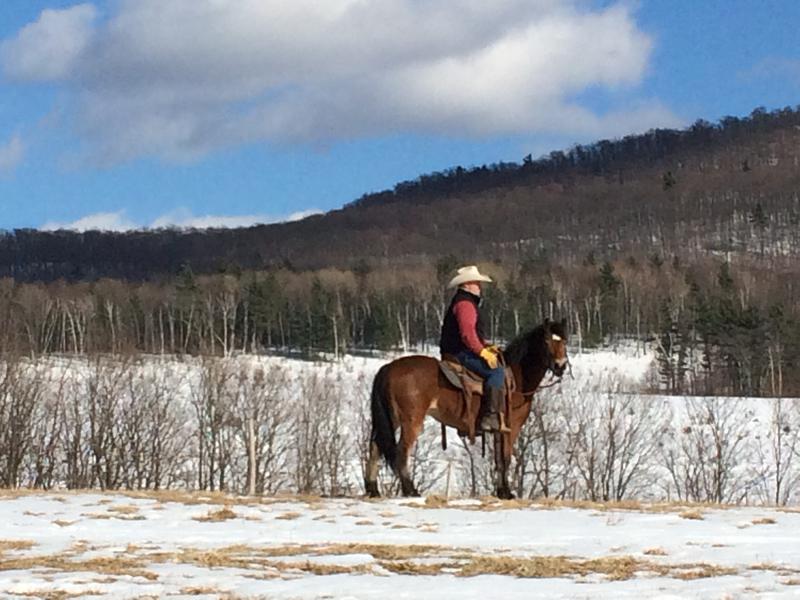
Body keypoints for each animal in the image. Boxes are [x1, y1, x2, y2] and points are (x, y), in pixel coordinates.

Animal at [365, 318, 569, 499]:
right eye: (547, 341)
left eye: (564, 341)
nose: (560, 365)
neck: (518, 378)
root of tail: (388, 368)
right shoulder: (512, 426)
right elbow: (506, 457)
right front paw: (507, 493)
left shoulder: (498, 429)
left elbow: (499, 459)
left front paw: (501, 491)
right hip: (411, 422)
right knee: (401, 451)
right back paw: (410, 490)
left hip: (392, 419)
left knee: (375, 446)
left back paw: (373, 489)